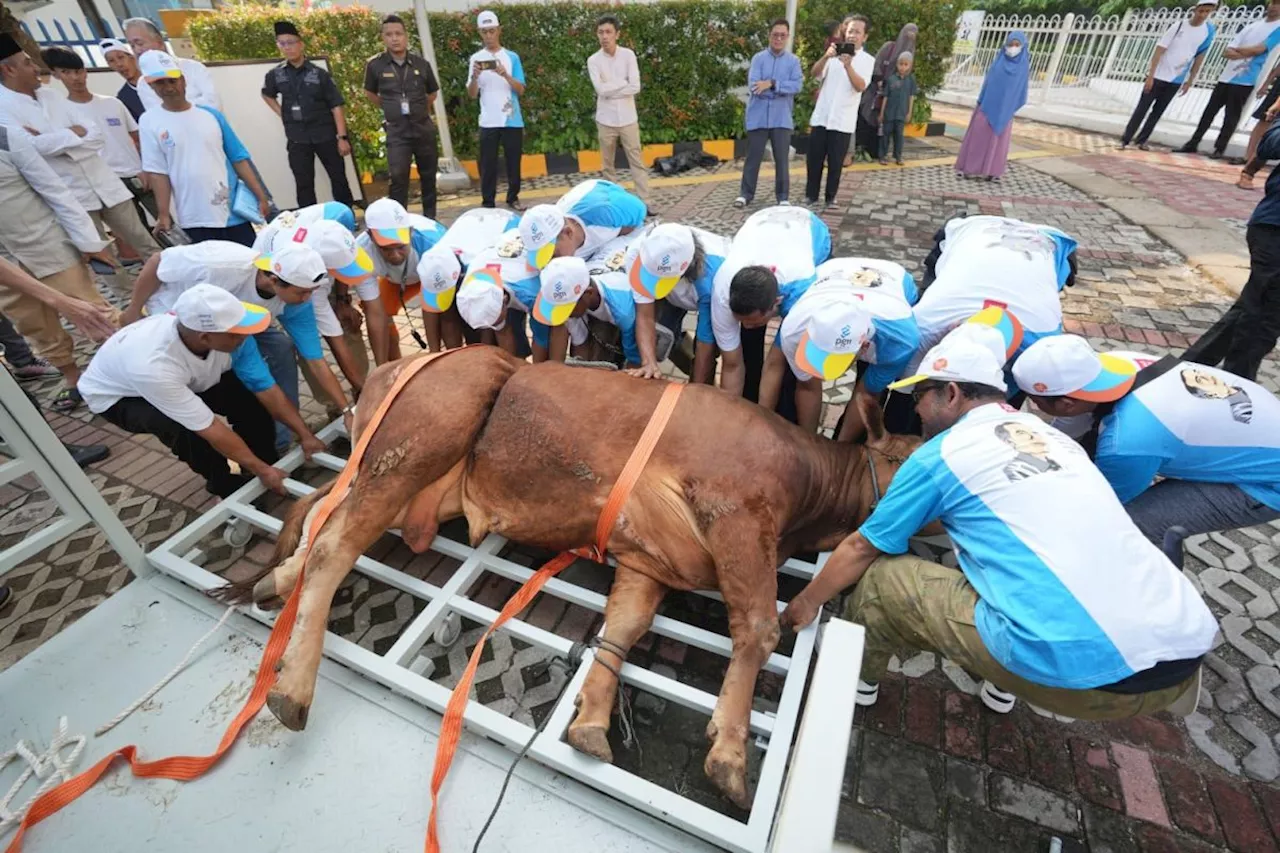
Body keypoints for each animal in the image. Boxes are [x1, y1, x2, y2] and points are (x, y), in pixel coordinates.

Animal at [222, 345, 921, 804]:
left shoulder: (649, 557)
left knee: (321, 515)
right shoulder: (738, 514)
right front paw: (727, 752)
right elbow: (757, 627)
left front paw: (590, 720)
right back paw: (293, 686)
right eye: (912, 458)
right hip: (423, 437)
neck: (809, 490)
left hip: (410, 483)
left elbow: (626, 624)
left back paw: (275, 583)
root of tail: (389, 369)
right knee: (334, 542)